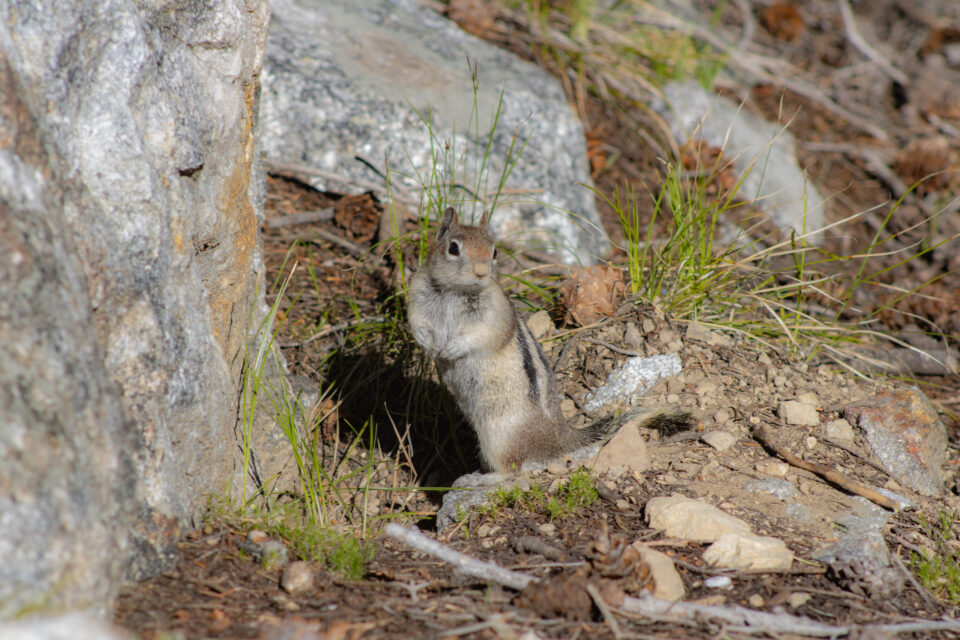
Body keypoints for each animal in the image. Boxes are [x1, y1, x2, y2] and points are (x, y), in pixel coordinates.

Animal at [404, 208, 688, 472]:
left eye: (494, 251)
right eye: (453, 248)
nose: (482, 272)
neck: (455, 292)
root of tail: (556, 438)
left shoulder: (493, 317)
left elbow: (480, 335)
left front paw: (452, 348)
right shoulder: (417, 296)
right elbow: (417, 323)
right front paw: (427, 342)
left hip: (498, 434)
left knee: (511, 468)